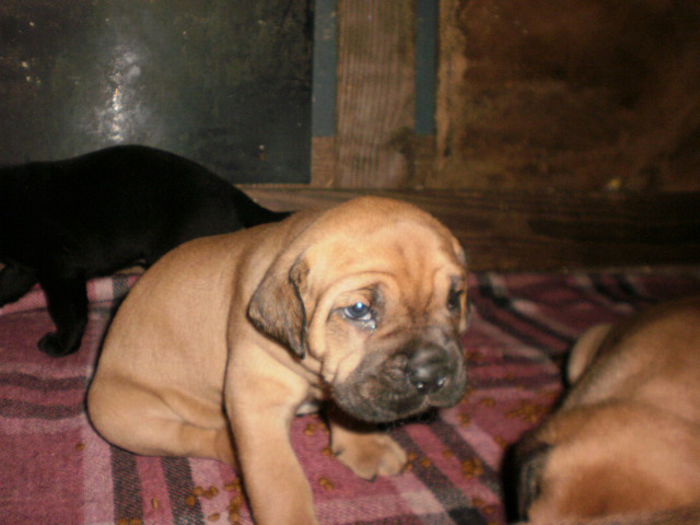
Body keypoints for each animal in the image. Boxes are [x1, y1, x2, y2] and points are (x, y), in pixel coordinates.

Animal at [0, 143, 288, 356]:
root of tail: (229, 190)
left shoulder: (61, 271)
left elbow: (70, 312)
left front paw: (63, 345)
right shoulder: (22, 267)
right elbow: (10, 284)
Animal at [87, 195, 470, 524]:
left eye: (454, 299)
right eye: (359, 309)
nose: (433, 374)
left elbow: (350, 406)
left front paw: (366, 445)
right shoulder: (258, 400)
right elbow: (281, 485)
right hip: (119, 417)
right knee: (190, 437)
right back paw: (232, 448)